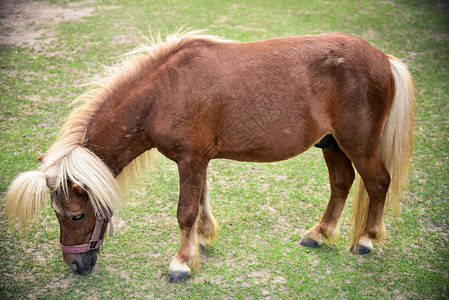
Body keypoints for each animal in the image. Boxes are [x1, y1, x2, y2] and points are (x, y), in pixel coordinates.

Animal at [6, 31, 412, 284]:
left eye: (76, 215)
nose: (75, 264)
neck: (163, 92)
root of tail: (384, 58)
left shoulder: (190, 159)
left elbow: (185, 210)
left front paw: (181, 264)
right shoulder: (197, 161)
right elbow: (199, 202)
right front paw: (202, 240)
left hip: (357, 143)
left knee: (378, 182)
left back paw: (367, 240)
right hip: (331, 144)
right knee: (342, 184)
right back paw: (320, 233)